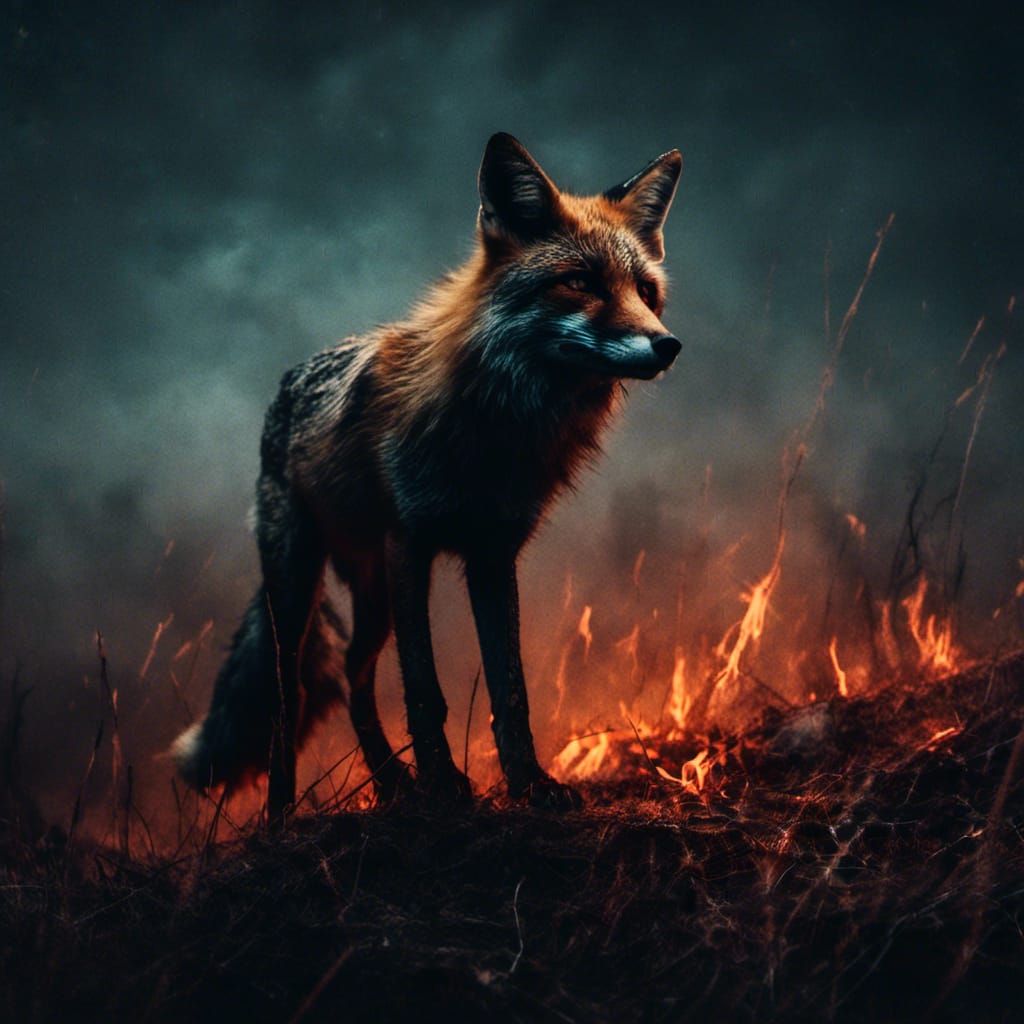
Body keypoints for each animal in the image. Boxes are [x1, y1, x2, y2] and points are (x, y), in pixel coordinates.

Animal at [172, 132, 683, 819]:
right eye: (580, 282)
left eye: (646, 293)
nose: (667, 345)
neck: (497, 432)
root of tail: (288, 383)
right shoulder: (410, 541)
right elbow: (424, 691)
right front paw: (444, 788)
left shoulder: (493, 553)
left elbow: (510, 690)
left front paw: (529, 784)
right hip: (300, 582)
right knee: (292, 697)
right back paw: (282, 814)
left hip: (372, 592)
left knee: (354, 676)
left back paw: (392, 783)